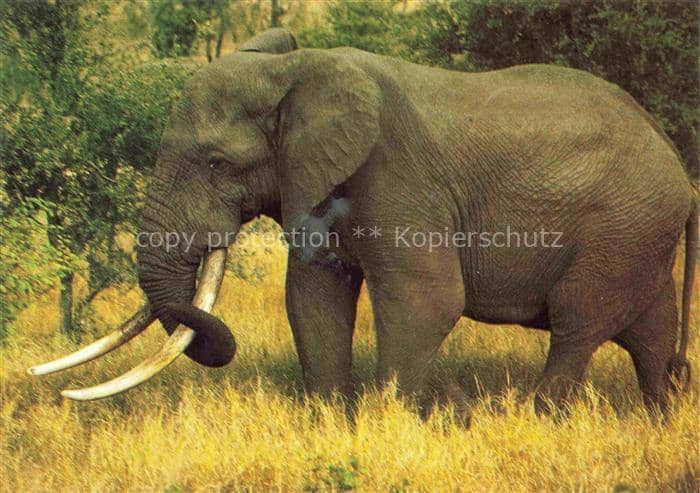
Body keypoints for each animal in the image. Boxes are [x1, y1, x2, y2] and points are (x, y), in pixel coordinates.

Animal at [30, 28, 696, 417]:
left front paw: (386, 424)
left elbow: (426, 299)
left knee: (578, 323)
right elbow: (312, 296)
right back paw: (658, 415)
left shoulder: (396, 174)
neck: (293, 68)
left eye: (217, 163)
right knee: (648, 331)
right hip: (638, 232)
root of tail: (679, 170)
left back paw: (535, 417)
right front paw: (330, 420)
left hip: (621, 226)